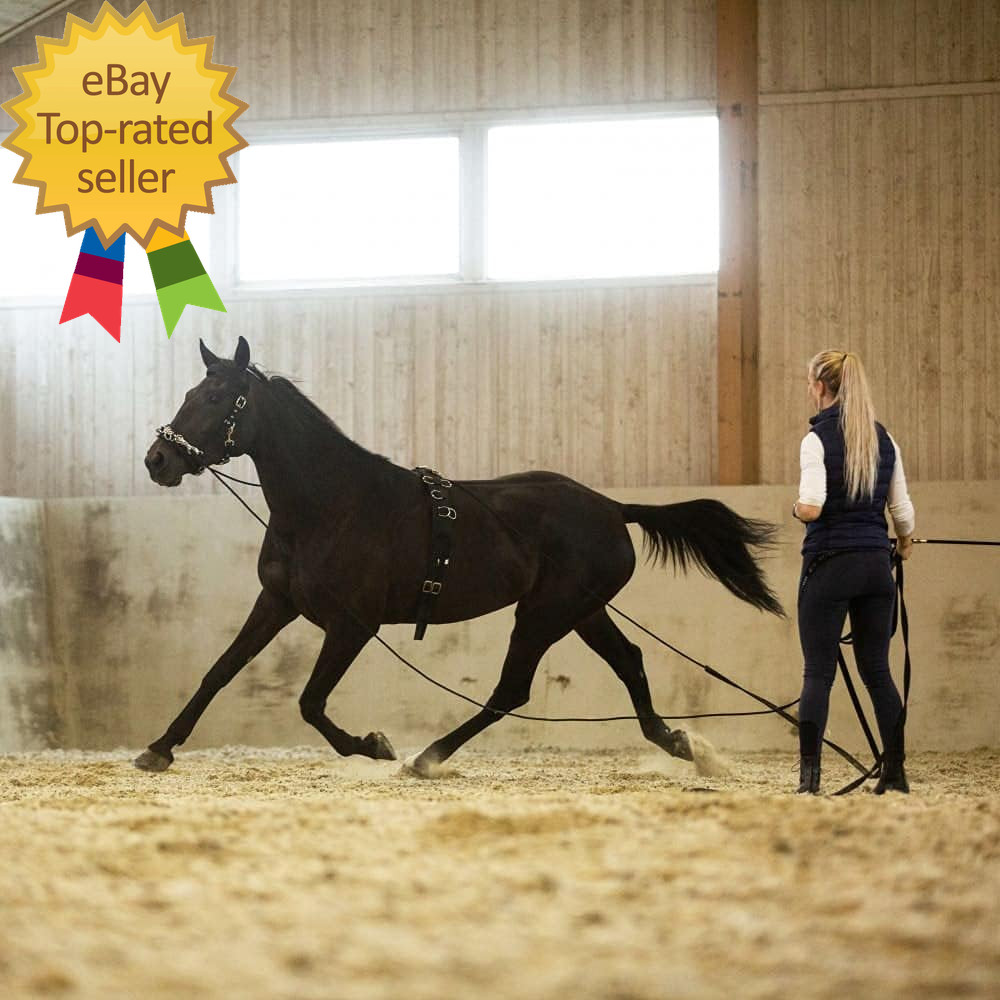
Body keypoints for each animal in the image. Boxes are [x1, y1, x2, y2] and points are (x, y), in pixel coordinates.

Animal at [135, 337, 784, 776]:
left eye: (216, 396)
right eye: (191, 393)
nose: (157, 461)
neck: (331, 504)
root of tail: (610, 507)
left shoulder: (353, 624)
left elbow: (311, 702)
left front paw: (373, 746)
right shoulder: (277, 601)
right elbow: (220, 671)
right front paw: (159, 748)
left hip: (544, 615)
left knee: (511, 691)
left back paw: (427, 757)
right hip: (582, 611)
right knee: (629, 660)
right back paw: (677, 742)